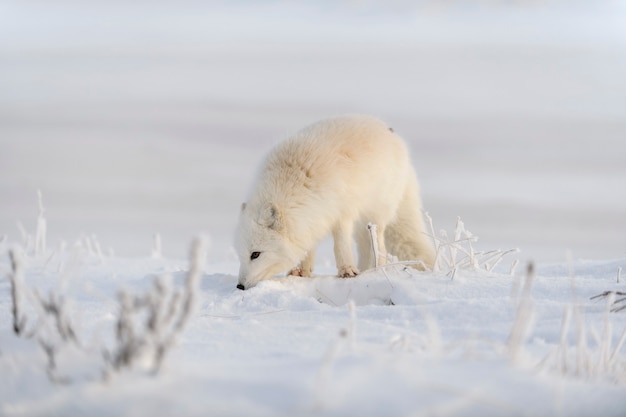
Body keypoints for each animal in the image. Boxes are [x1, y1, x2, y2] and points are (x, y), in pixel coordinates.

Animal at [234, 114, 434, 290]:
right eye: (240, 254)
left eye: (256, 254)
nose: (240, 286)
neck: (292, 181)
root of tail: (392, 133)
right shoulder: (312, 218)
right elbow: (309, 246)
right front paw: (302, 271)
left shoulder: (341, 212)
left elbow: (341, 245)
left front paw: (347, 271)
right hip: (363, 225)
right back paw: (365, 270)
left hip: (376, 215)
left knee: (378, 247)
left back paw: (373, 270)